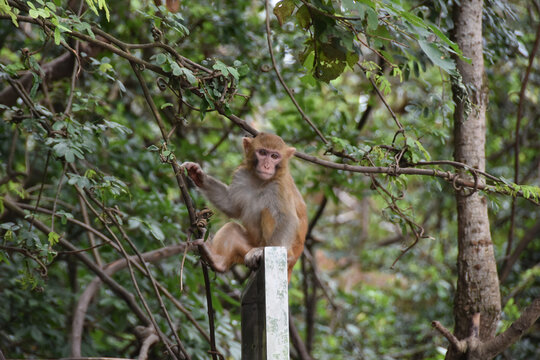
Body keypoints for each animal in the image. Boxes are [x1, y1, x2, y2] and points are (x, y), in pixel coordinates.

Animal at [182, 132, 306, 282]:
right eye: (262, 152)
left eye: (274, 156)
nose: (266, 166)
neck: (260, 181)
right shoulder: (242, 175)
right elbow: (231, 205)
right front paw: (199, 176)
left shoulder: (279, 186)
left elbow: (287, 218)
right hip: (247, 247)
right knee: (232, 228)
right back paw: (217, 260)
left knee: (268, 212)